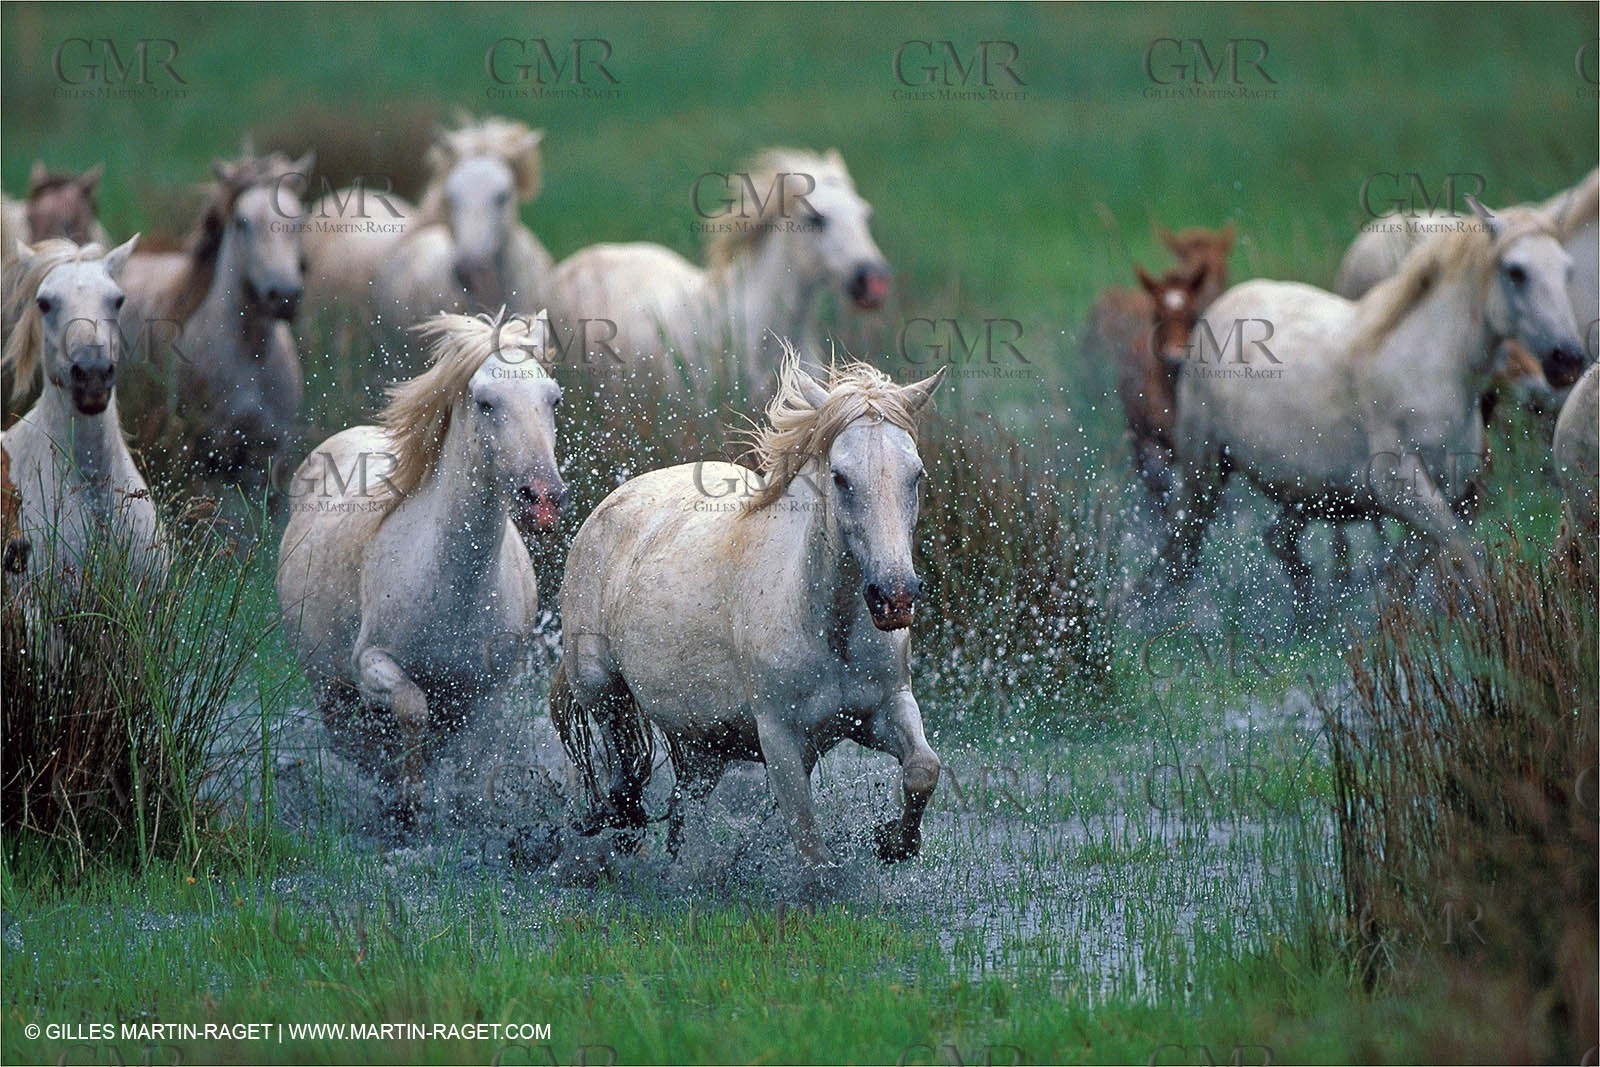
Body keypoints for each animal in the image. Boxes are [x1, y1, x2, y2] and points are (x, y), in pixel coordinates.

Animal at [116, 152, 311, 492]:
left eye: (298, 221)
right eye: (242, 222)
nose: (285, 296)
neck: (251, 354)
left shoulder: (271, 455)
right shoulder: (207, 458)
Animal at [275, 310, 565, 824]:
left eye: (553, 398)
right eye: (485, 402)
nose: (544, 499)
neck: (452, 587)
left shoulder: (486, 690)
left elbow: (465, 757)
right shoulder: (370, 662)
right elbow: (412, 707)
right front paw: (408, 800)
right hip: (326, 682)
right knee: (350, 736)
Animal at [551, 355, 946, 874]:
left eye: (915, 474)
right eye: (840, 477)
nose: (894, 597)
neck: (827, 625)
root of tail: (607, 506)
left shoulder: (887, 707)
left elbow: (923, 769)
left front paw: (892, 842)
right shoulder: (780, 739)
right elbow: (813, 851)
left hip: (704, 746)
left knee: (680, 807)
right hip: (602, 689)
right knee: (623, 773)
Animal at [1157, 196, 1588, 622]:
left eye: (1567, 269)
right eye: (1516, 271)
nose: (1567, 360)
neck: (1430, 369)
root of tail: (1221, 306)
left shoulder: (1449, 493)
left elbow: (1411, 568)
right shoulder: (1401, 487)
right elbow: (1464, 553)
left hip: (1301, 491)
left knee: (1278, 541)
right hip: (1203, 471)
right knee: (1182, 548)